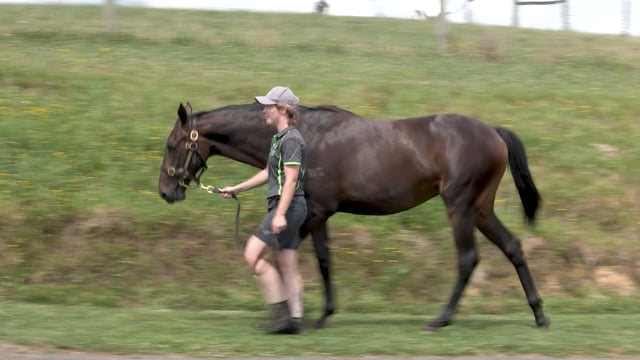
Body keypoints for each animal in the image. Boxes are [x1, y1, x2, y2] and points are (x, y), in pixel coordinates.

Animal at [156, 102, 552, 332]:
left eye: (172, 145)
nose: (165, 191)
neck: (307, 134)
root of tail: (493, 132)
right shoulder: (320, 215)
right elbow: (323, 261)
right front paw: (319, 315)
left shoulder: (314, 213)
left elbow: (288, 255)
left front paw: (297, 317)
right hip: (481, 208)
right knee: (513, 247)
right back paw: (539, 314)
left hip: (460, 206)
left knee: (468, 259)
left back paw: (441, 319)